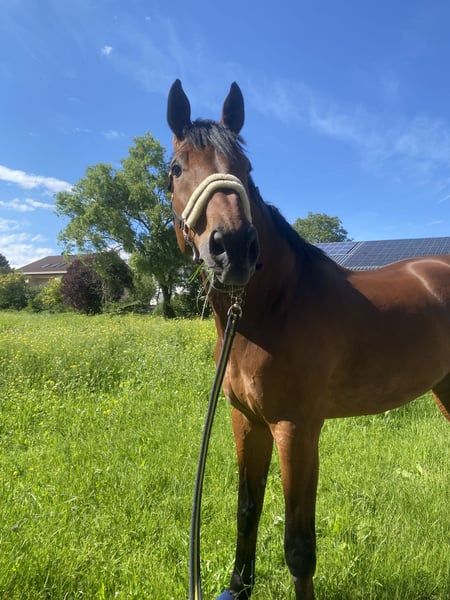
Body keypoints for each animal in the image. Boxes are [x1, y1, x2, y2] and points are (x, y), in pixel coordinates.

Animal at [166, 79, 450, 599]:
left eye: (246, 167)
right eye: (176, 169)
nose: (233, 248)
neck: (272, 310)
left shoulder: (296, 430)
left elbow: (299, 546)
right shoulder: (247, 422)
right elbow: (247, 511)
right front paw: (238, 586)